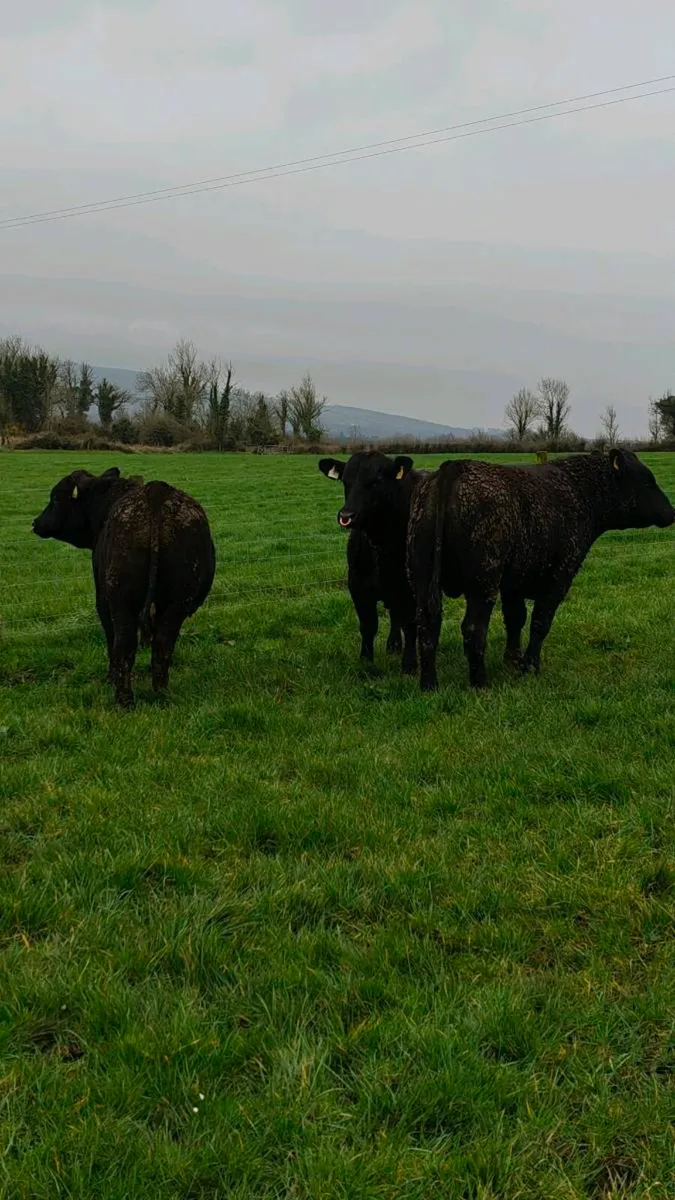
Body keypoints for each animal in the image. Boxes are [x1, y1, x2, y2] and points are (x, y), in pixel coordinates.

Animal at [32, 467, 216, 707]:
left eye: (55, 498)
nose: (35, 522)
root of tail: (155, 492)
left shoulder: (102, 597)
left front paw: (110, 678)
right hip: (176, 602)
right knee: (163, 644)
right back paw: (161, 694)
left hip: (121, 600)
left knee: (123, 644)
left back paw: (123, 699)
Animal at [319, 451, 429, 673]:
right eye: (345, 481)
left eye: (376, 482)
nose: (346, 516)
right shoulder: (357, 585)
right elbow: (368, 625)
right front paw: (366, 660)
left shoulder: (411, 587)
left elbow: (411, 625)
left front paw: (409, 665)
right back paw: (393, 645)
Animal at [407, 448, 675, 692]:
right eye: (647, 481)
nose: (671, 513)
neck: (579, 492)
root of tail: (453, 466)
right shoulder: (561, 575)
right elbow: (540, 621)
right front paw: (530, 666)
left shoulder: (513, 582)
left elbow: (515, 618)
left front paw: (513, 660)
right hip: (483, 582)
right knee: (473, 629)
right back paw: (480, 683)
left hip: (422, 578)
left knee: (426, 625)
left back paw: (429, 684)